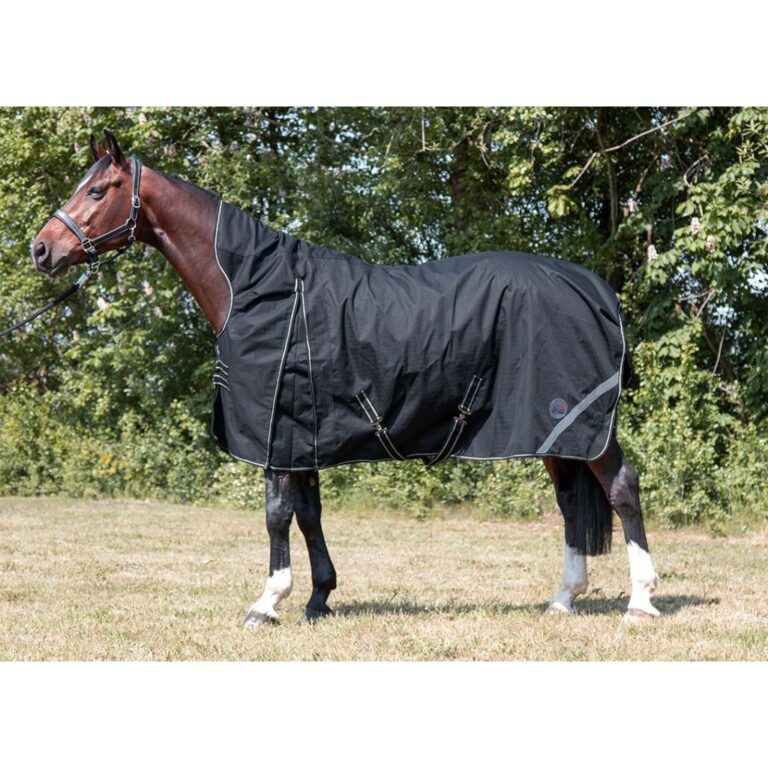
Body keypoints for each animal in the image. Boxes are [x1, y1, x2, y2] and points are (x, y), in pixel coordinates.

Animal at [30, 129, 660, 625]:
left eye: (96, 190)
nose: (41, 249)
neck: (255, 285)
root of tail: (596, 290)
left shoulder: (276, 435)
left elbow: (276, 516)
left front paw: (267, 603)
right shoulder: (301, 435)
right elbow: (309, 515)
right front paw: (317, 599)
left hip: (580, 423)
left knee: (622, 489)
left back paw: (641, 601)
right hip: (556, 431)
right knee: (570, 501)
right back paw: (562, 599)